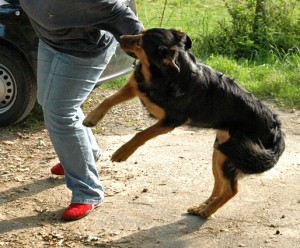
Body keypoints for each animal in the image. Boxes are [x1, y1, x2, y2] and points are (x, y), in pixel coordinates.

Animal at [83, 27, 284, 217]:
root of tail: (276, 129)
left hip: (231, 153)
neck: (163, 74)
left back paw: (207, 211)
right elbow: (108, 100)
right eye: (140, 32)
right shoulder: (136, 86)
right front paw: (92, 117)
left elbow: (141, 134)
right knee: (219, 185)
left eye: (140, 42)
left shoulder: (171, 121)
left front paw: (122, 152)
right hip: (219, 152)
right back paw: (203, 206)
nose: (121, 38)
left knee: (231, 189)